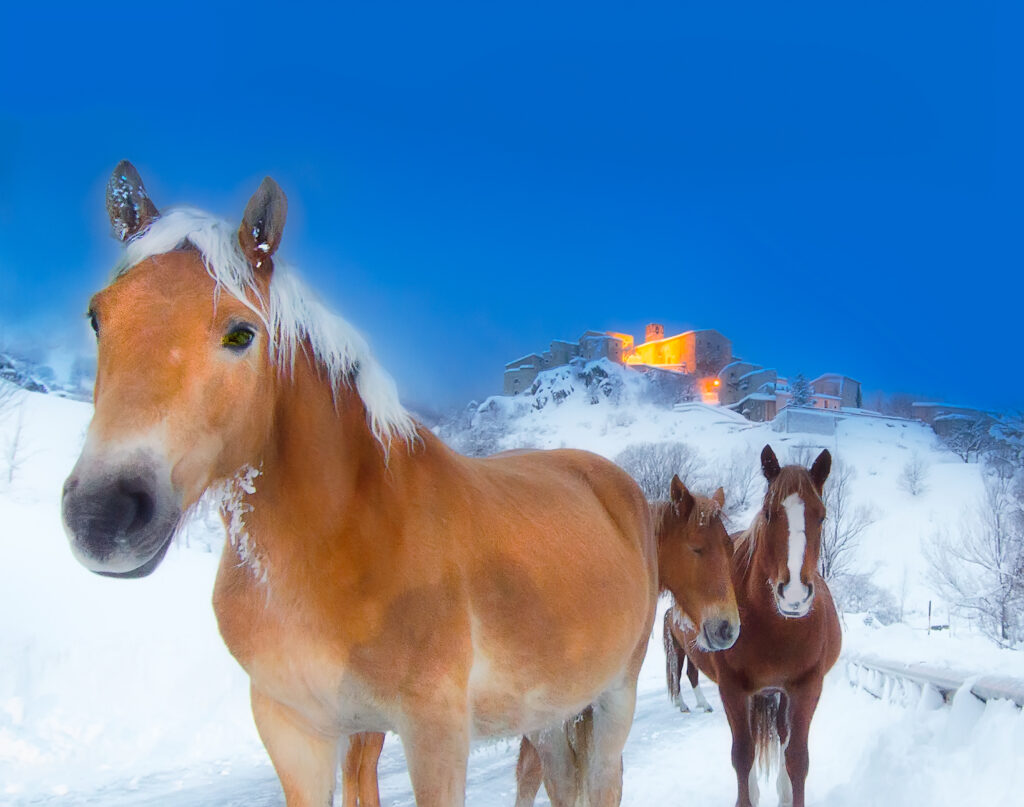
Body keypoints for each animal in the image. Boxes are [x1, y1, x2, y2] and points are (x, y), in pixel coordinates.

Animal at [61, 162, 659, 807]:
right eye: (97, 318)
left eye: (241, 334)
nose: (103, 514)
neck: (345, 539)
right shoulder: (294, 731)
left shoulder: (434, 733)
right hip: (548, 712)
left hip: (613, 699)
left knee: (603, 778)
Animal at [681, 445, 841, 807]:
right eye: (768, 514)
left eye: (821, 516)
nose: (794, 594)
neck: (777, 630)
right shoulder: (733, 689)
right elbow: (743, 755)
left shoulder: (806, 687)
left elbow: (797, 758)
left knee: (782, 736)